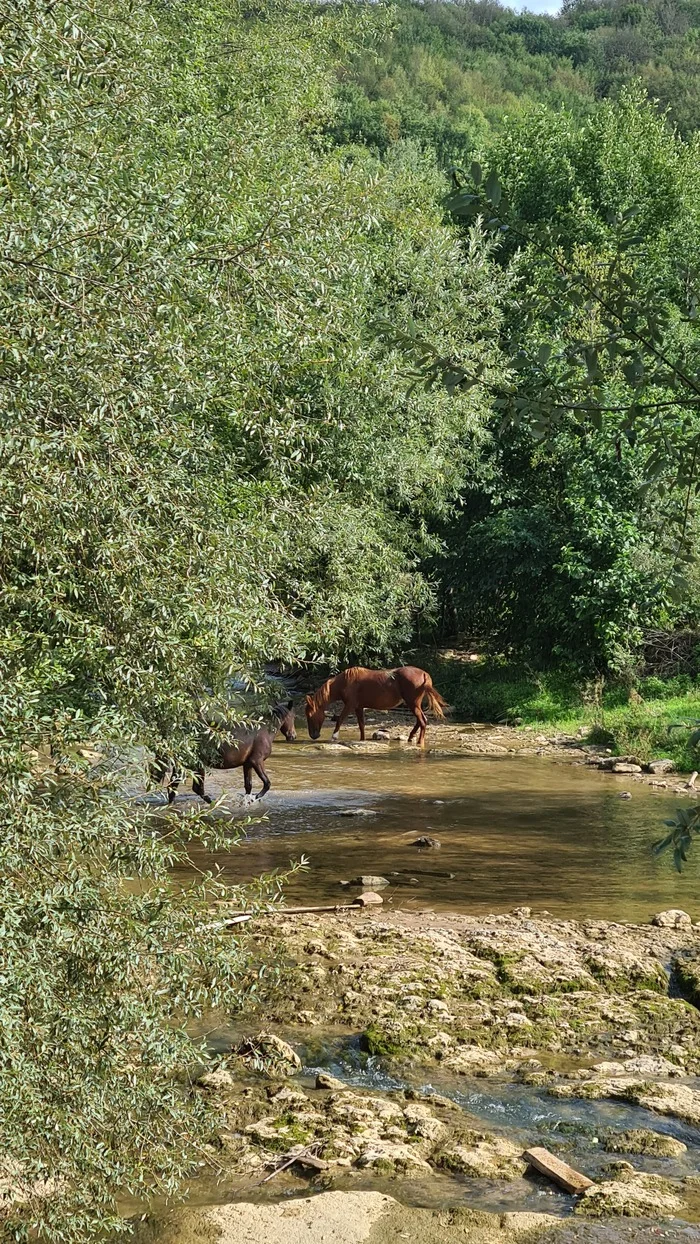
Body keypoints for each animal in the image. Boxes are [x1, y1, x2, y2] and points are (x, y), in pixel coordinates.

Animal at [153, 701, 295, 806]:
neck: (264, 731)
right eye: (292, 717)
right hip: (197, 766)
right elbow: (267, 783)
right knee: (196, 788)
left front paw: (247, 801)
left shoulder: (247, 764)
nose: (292, 736)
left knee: (173, 787)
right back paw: (213, 803)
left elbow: (248, 786)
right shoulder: (257, 762)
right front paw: (255, 798)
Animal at [307, 666, 450, 741]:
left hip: (412, 703)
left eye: (309, 716)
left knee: (422, 721)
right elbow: (361, 725)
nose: (313, 736)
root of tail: (424, 674)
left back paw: (419, 742)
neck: (346, 682)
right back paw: (411, 737)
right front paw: (362, 739)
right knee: (420, 721)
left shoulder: (350, 705)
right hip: (414, 704)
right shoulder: (358, 707)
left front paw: (334, 737)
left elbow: (340, 719)